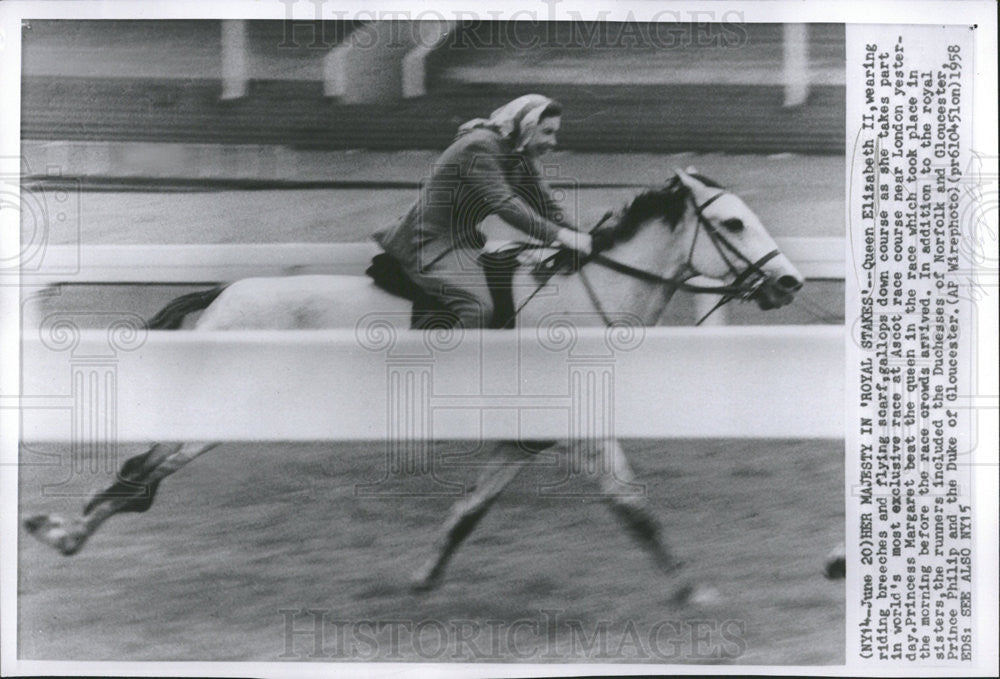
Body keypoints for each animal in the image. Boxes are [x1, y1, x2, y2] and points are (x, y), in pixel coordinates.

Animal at [23, 171, 804, 596]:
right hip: (220, 418)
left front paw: (423, 577)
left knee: (143, 473)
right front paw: (696, 592)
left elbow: (467, 513)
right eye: (733, 221)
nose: (790, 283)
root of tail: (223, 292)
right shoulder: (580, 435)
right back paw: (63, 532)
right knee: (138, 472)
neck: (584, 300)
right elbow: (636, 510)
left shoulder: (528, 438)